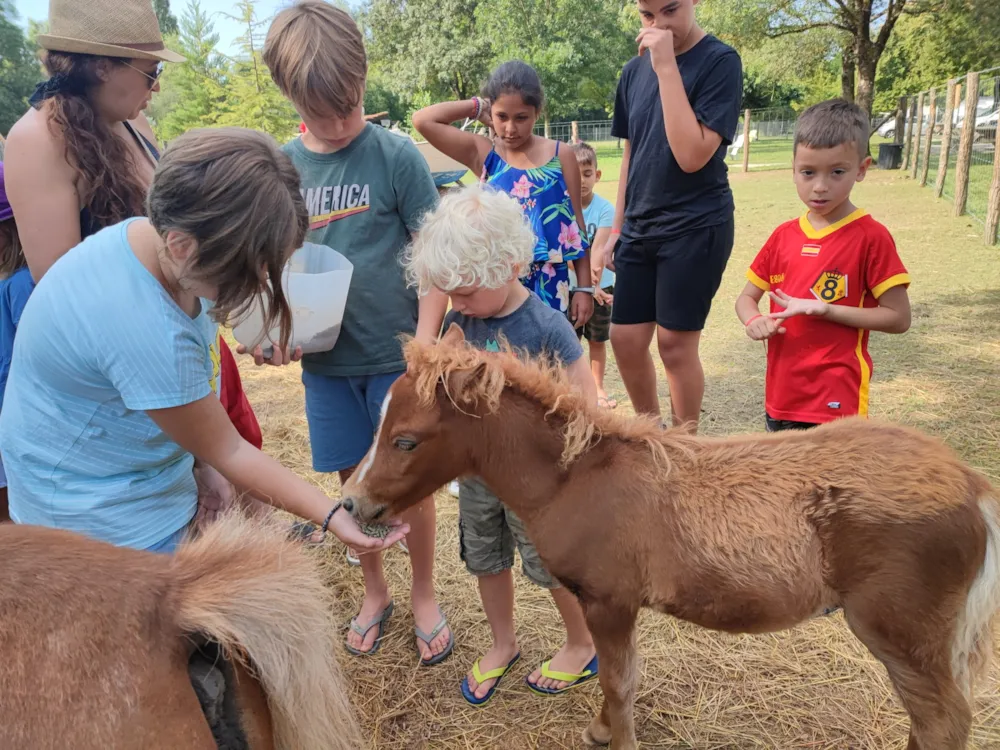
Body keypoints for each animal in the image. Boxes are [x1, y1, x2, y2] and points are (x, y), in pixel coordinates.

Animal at [342, 326, 1000, 750]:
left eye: (405, 439)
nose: (352, 502)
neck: (578, 477)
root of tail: (971, 484)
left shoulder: (610, 601)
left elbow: (620, 680)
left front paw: (613, 736)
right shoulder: (607, 603)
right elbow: (617, 678)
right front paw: (601, 728)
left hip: (901, 634)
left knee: (941, 723)